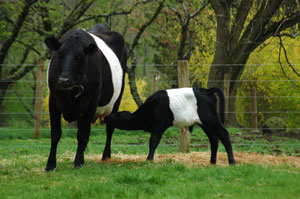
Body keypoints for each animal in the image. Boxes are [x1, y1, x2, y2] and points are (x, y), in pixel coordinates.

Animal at [104, 87, 236, 165]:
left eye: (118, 116)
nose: (106, 118)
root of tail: (207, 90)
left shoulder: (158, 125)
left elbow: (153, 141)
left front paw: (149, 159)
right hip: (205, 124)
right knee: (214, 139)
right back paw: (212, 161)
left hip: (211, 120)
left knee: (224, 135)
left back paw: (231, 161)